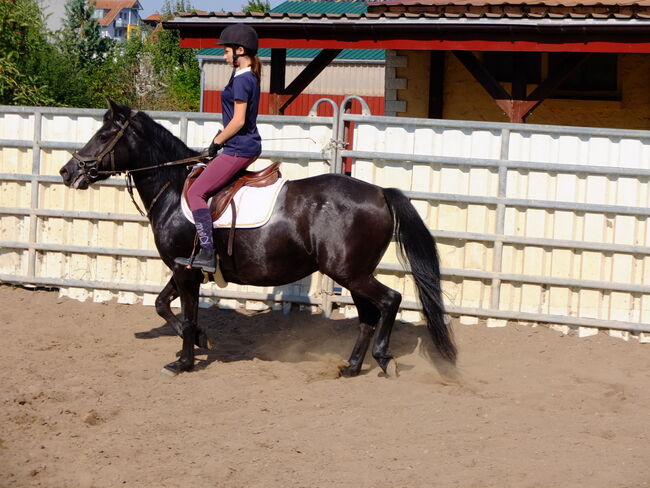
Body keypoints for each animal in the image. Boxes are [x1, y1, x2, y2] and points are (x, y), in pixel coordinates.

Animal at [60, 101, 456, 378]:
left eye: (103, 135)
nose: (67, 171)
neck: (173, 188)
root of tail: (379, 192)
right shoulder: (182, 269)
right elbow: (161, 305)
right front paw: (201, 340)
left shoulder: (185, 271)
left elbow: (185, 315)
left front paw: (184, 361)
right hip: (353, 273)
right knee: (368, 314)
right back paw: (352, 366)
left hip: (350, 272)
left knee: (389, 301)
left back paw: (383, 358)